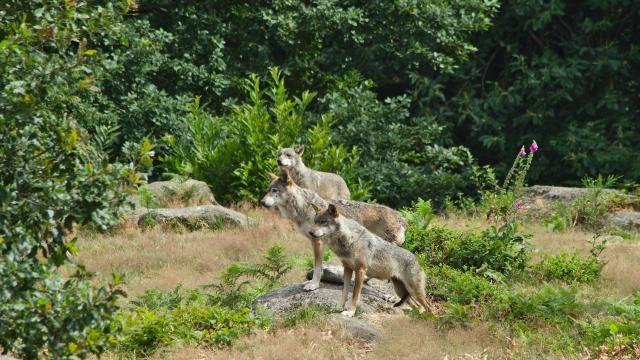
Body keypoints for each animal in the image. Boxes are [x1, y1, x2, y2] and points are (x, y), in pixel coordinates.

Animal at [262, 170, 408, 292]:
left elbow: (317, 267)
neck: (303, 208)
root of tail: (401, 218)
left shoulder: (317, 241)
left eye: (275, 190)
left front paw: (313, 285)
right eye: (268, 190)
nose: (262, 202)